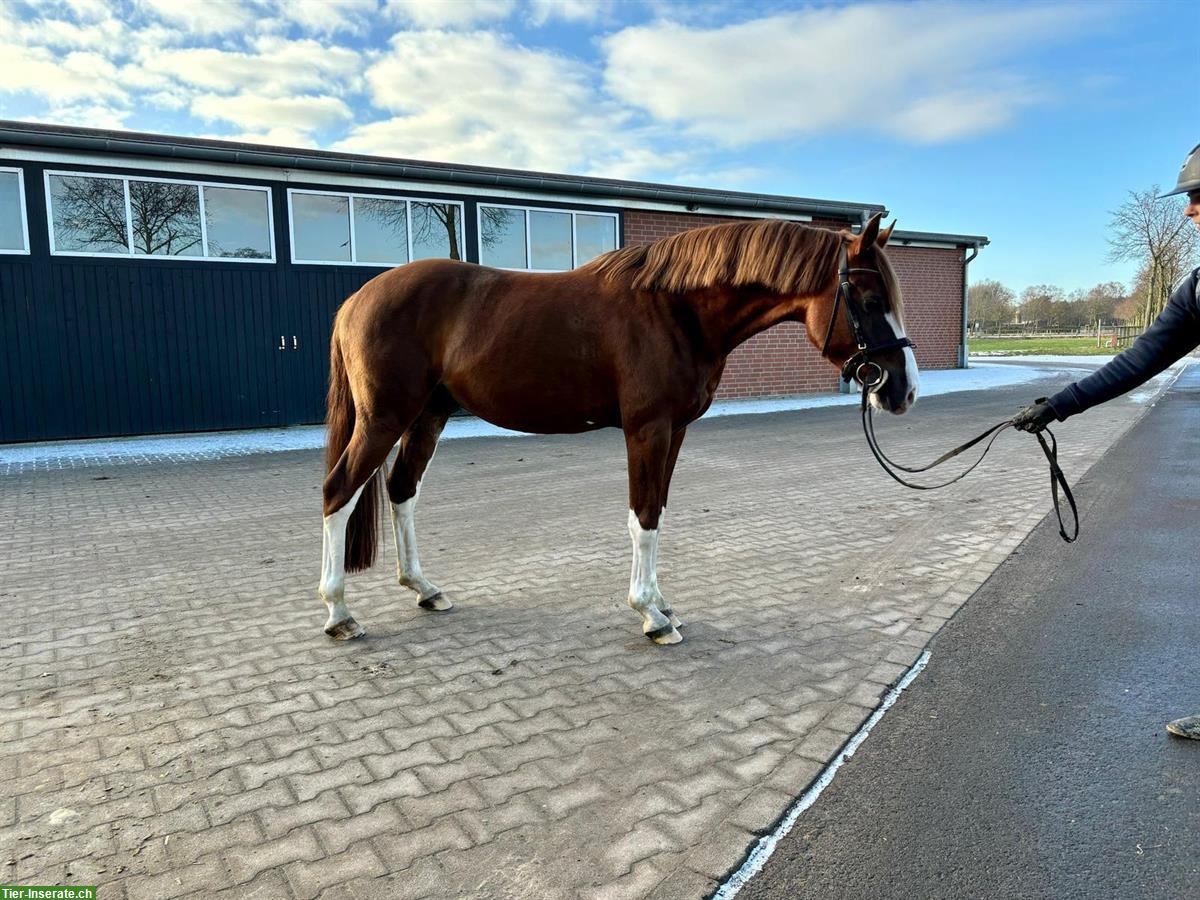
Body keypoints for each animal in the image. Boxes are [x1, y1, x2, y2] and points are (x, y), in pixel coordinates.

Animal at [319, 211, 916, 648]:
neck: (676, 311)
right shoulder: (647, 430)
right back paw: (339, 613)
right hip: (384, 419)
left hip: (427, 416)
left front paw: (662, 603)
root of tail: (355, 300)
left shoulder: (676, 431)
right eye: (869, 300)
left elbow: (660, 513)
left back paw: (424, 589)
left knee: (402, 490)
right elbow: (644, 518)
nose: (902, 390)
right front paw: (652, 616)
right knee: (337, 494)